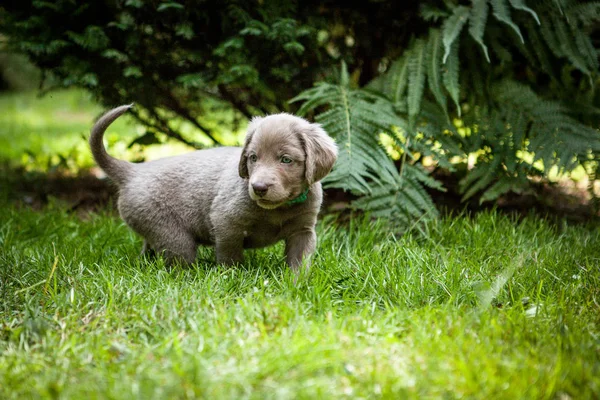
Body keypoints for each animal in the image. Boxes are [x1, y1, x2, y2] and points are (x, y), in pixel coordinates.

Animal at [89, 104, 338, 270]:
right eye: (253, 158)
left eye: (286, 160)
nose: (258, 187)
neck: (278, 209)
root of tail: (134, 171)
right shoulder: (226, 222)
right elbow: (230, 256)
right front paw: (233, 278)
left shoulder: (303, 231)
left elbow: (300, 260)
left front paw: (296, 284)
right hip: (172, 234)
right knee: (178, 262)